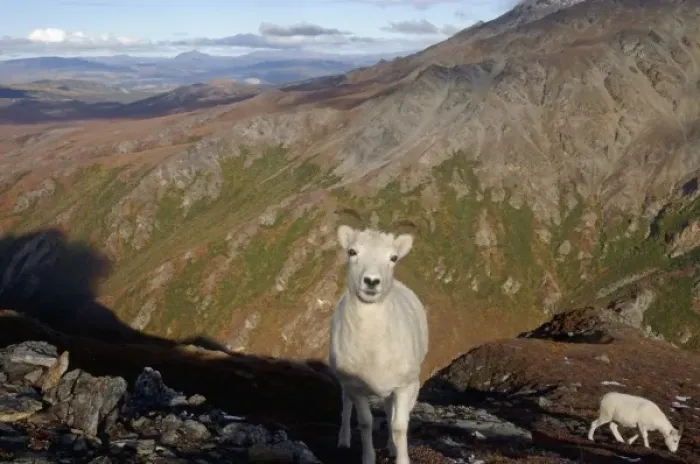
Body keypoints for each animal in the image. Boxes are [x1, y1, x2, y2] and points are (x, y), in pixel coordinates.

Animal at [328, 225, 429, 464]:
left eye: (393, 258)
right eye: (352, 252)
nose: (372, 281)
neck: (374, 350)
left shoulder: (404, 386)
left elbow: (399, 426)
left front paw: (401, 458)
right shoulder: (357, 387)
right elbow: (365, 423)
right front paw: (368, 458)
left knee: (389, 412)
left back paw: (392, 448)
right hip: (346, 385)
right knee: (346, 406)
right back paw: (343, 442)